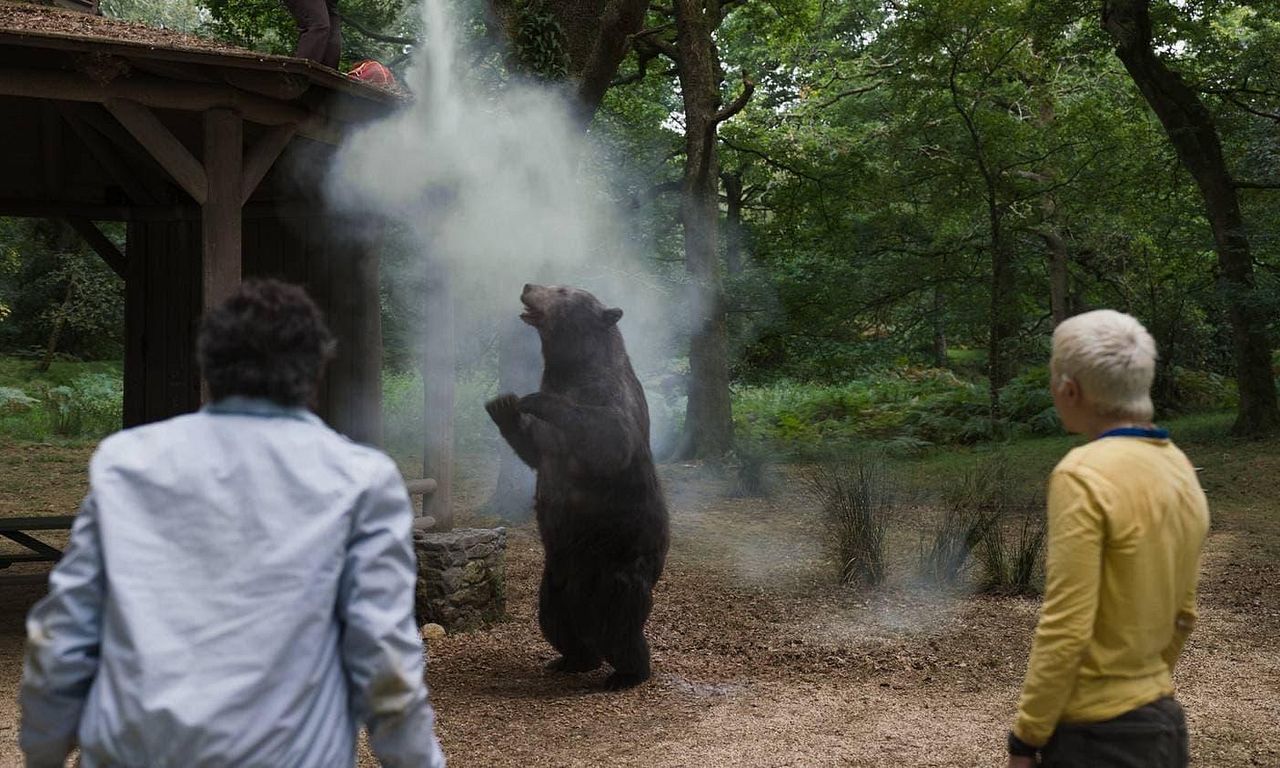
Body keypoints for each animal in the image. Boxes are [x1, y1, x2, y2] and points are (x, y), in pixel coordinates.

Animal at [485, 283, 670, 690]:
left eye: (563, 290)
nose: (527, 286)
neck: (572, 368)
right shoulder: (548, 442)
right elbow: (534, 449)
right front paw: (503, 404)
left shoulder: (611, 399)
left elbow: (608, 438)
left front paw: (532, 399)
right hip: (556, 574)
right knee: (555, 619)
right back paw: (571, 659)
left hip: (617, 565)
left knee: (621, 623)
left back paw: (627, 673)